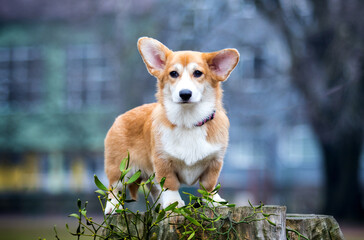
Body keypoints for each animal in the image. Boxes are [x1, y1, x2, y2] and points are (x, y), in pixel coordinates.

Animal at [104, 37, 239, 214]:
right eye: (173, 74)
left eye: (198, 73)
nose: (185, 94)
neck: (188, 121)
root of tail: (119, 118)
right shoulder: (163, 161)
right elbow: (170, 184)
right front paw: (173, 203)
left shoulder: (214, 162)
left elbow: (208, 186)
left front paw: (214, 201)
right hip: (119, 168)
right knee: (115, 188)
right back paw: (112, 208)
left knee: (154, 189)